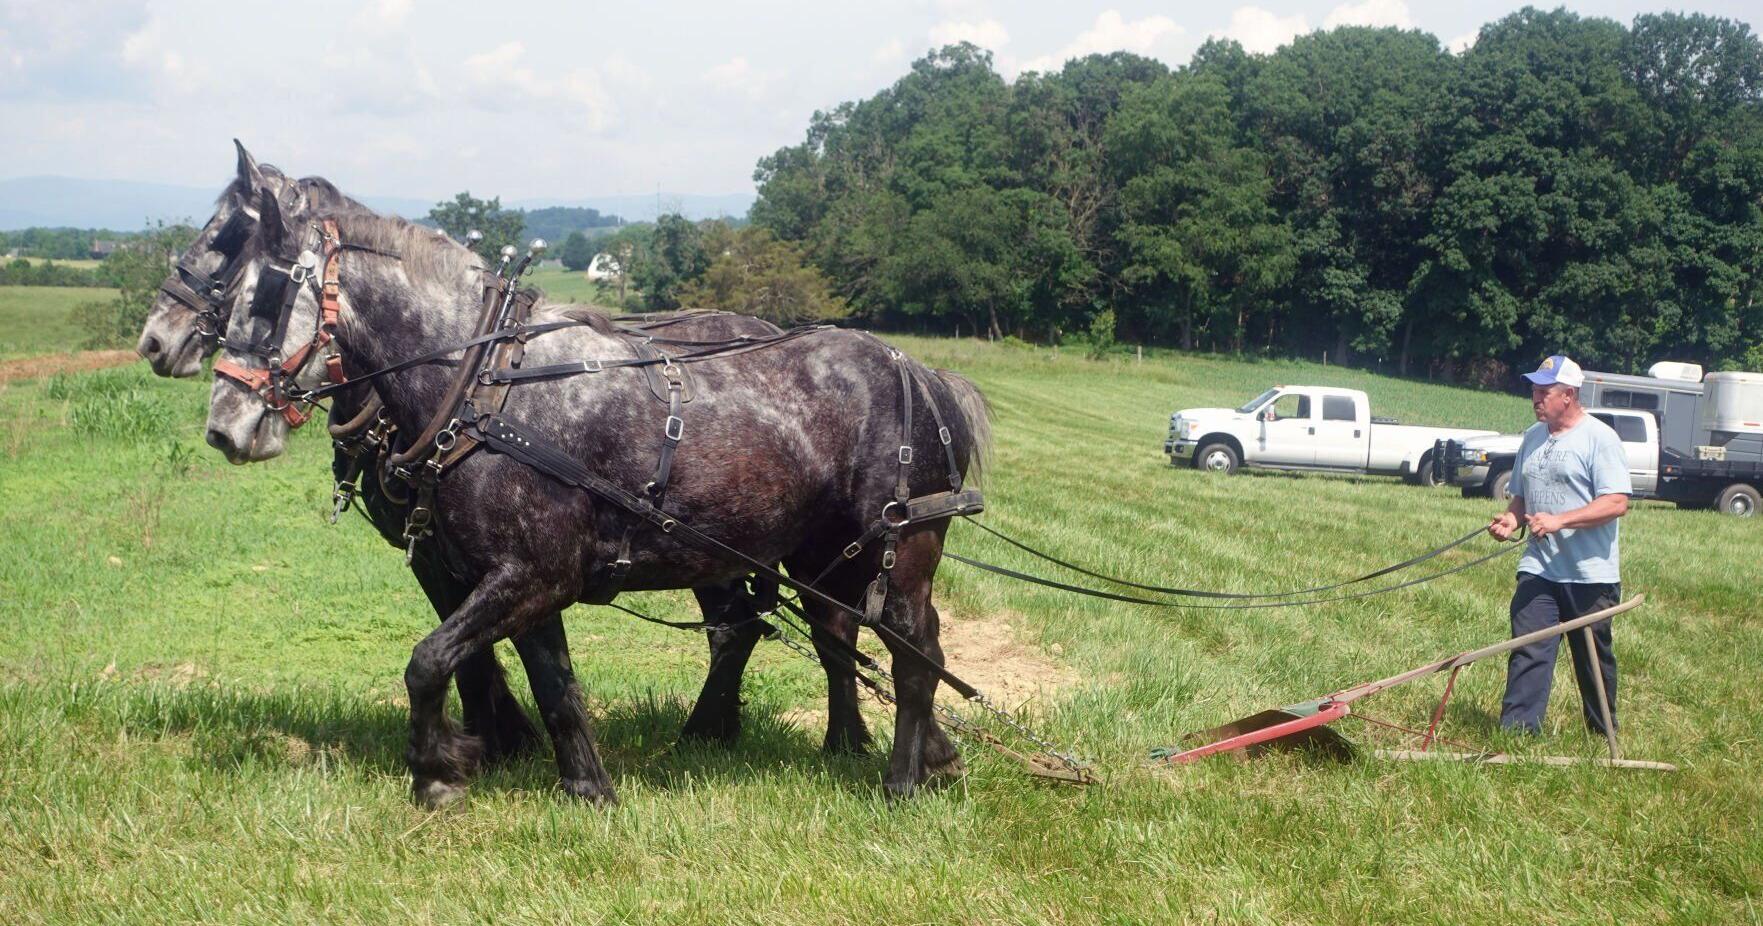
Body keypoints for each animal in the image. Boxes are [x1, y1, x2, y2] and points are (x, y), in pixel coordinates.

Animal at [204, 191, 989, 804]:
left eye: (265, 297)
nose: (223, 426)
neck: (481, 389)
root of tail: (921, 373)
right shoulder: (518, 578)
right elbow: (553, 684)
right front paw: (586, 787)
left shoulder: (530, 574)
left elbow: (428, 660)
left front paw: (436, 773)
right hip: (821, 557)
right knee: (840, 636)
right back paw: (877, 751)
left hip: (899, 547)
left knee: (912, 653)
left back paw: (901, 781)